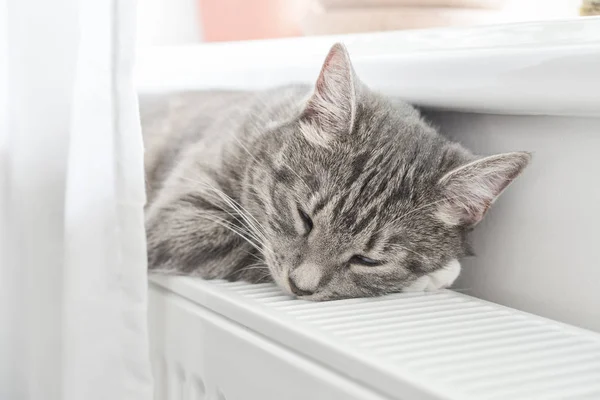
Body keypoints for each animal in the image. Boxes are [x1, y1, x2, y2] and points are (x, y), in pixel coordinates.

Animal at [142, 43, 528, 300]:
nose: (301, 287)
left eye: (368, 260)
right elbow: (248, 248)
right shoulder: (178, 221)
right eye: (304, 218)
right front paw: (433, 276)